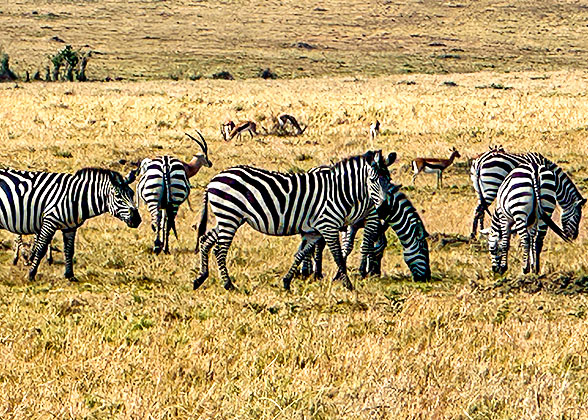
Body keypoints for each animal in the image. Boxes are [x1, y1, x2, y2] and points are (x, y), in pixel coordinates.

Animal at [0, 167, 140, 282]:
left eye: (132, 193)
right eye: (117, 196)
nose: (137, 219)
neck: (76, 198)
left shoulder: (70, 227)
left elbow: (69, 250)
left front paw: (70, 275)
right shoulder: (49, 221)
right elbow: (41, 249)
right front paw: (31, 274)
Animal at [195, 151, 392, 292]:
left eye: (388, 180)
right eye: (373, 180)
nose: (384, 208)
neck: (338, 192)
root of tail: (213, 180)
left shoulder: (314, 231)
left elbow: (300, 254)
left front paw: (286, 281)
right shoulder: (328, 225)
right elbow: (338, 256)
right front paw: (348, 285)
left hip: (228, 218)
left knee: (205, 240)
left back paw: (200, 278)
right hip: (229, 216)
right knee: (220, 250)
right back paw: (228, 284)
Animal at [300, 184, 430, 282]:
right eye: (424, 251)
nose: (427, 278)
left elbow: (369, 245)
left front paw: (367, 271)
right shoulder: (354, 224)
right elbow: (352, 247)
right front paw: (351, 273)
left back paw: (310, 271)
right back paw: (309, 272)